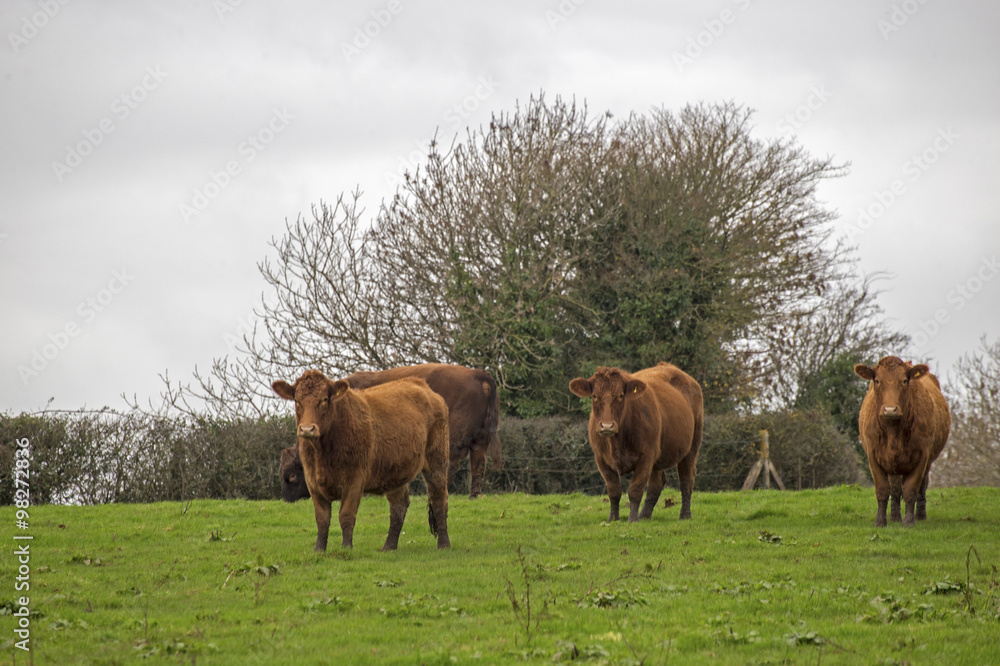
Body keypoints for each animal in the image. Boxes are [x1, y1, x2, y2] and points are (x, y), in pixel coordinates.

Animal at [272, 370, 451, 552]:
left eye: (324, 399)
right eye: (297, 401)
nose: (307, 429)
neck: (323, 453)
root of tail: (420, 383)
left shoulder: (355, 479)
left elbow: (346, 515)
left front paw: (346, 547)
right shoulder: (312, 482)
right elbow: (322, 519)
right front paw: (319, 550)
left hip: (437, 461)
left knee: (439, 499)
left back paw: (444, 544)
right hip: (395, 472)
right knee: (399, 506)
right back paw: (388, 546)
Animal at [280, 364, 501, 501]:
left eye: (291, 476)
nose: (286, 499)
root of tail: (479, 374)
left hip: (452, 439)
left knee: (451, 464)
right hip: (480, 439)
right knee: (478, 464)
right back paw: (473, 496)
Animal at [569, 362, 704, 523]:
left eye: (621, 395)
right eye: (594, 395)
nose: (607, 426)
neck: (617, 442)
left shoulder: (646, 456)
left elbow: (635, 489)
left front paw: (632, 519)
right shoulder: (601, 458)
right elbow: (614, 490)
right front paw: (613, 519)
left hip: (692, 445)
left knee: (686, 479)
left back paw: (685, 515)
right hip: (658, 455)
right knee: (657, 483)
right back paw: (645, 515)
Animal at [854, 356, 950, 527]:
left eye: (904, 380)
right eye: (877, 380)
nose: (890, 409)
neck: (893, 431)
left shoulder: (922, 456)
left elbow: (911, 489)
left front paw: (909, 521)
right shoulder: (872, 455)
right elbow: (883, 489)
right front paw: (880, 521)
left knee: (921, 486)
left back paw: (920, 516)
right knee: (895, 488)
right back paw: (894, 517)